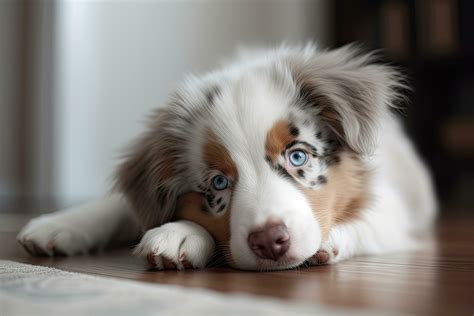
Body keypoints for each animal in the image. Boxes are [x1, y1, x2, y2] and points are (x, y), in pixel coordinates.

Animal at [16, 43, 436, 272]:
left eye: (298, 157)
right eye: (219, 182)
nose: (270, 242)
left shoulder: (391, 201)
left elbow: (368, 220)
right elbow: (123, 205)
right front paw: (59, 224)